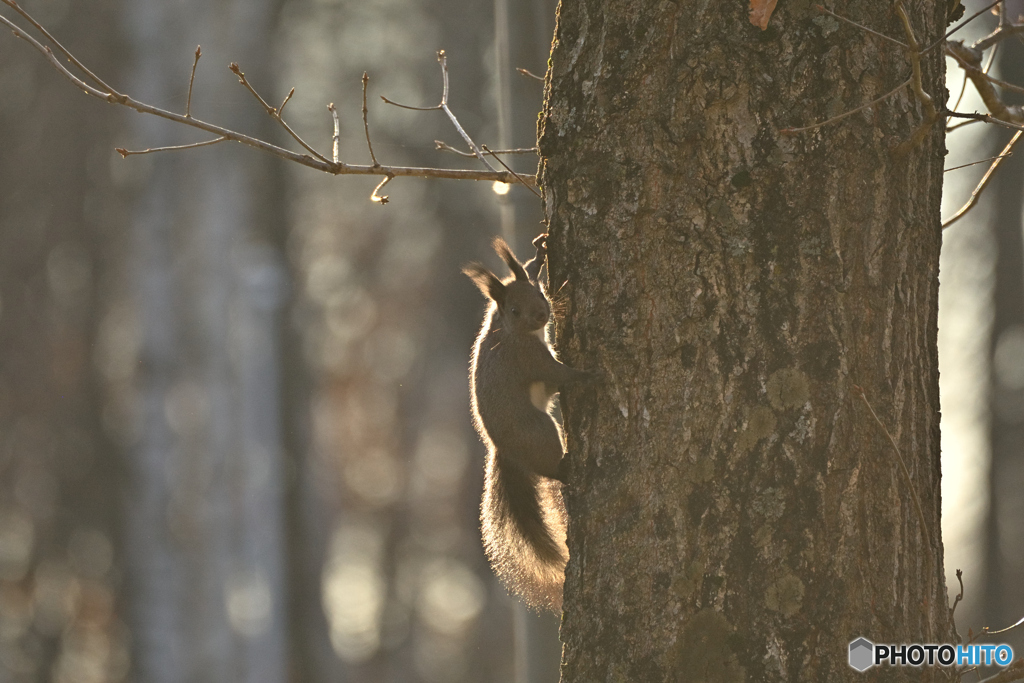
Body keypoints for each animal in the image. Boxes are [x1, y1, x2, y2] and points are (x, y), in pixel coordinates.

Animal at [462, 232, 598, 610]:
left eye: (538, 295)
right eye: (514, 310)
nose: (541, 315)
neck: (509, 330)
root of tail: (505, 451)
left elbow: (523, 270)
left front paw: (539, 252)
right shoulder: (531, 359)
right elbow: (558, 373)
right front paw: (587, 375)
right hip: (539, 429)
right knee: (550, 469)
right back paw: (566, 469)